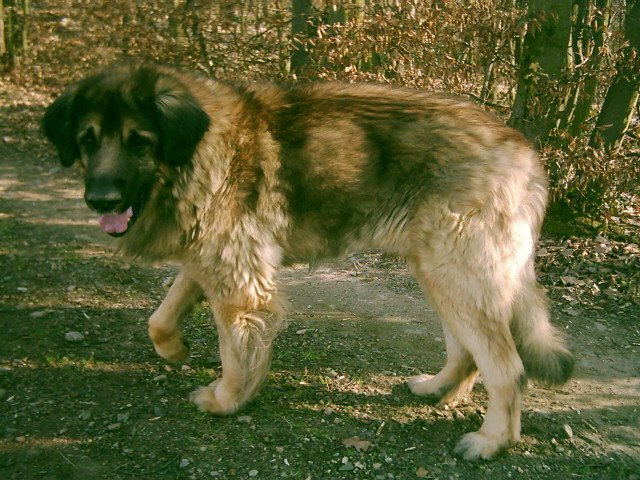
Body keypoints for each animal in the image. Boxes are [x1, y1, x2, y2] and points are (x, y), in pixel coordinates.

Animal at [45, 62, 576, 460]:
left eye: (139, 140)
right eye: (88, 139)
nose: (101, 199)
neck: (196, 150)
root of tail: (524, 150)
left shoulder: (240, 281)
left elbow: (235, 354)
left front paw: (227, 400)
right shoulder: (210, 257)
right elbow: (160, 316)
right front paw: (174, 349)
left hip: (456, 271)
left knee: (506, 367)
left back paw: (492, 442)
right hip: (439, 271)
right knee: (468, 351)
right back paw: (438, 388)